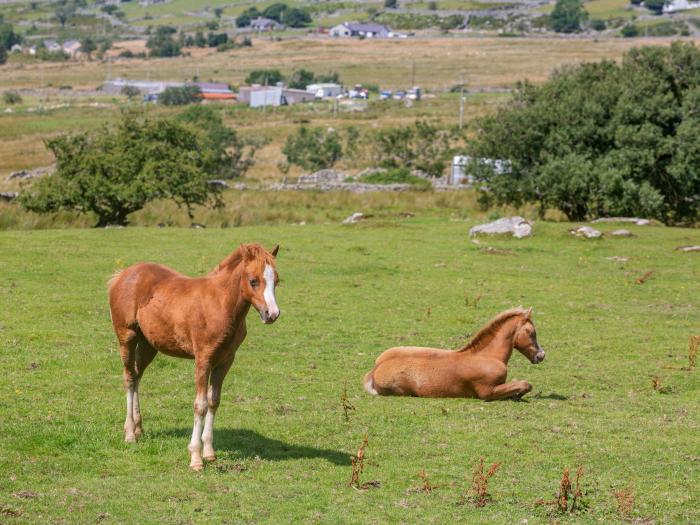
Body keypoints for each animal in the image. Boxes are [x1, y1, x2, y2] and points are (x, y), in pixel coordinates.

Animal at [109, 244, 278, 468]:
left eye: (277, 280)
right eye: (253, 281)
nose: (272, 314)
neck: (220, 304)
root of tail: (122, 274)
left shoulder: (225, 361)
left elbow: (214, 401)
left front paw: (209, 452)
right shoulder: (203, 360)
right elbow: (200, 405)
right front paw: (196, 458)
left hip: (149, 345)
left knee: (137, 376)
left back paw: (139, 429)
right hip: (127, 336)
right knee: (129, 377)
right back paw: (129, 433)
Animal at [366, 304, 548, 400]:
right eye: (532, 332)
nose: (541, 356)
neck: (486, 356)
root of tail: (375, 371)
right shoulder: (487, 392)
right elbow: (525, 384)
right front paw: (517, 394)